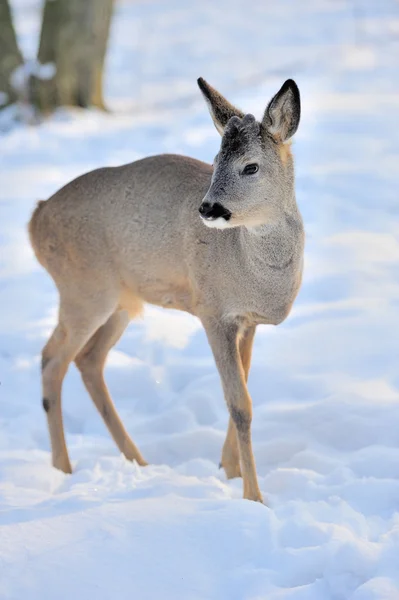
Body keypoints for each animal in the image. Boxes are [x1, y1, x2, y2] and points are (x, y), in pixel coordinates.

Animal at [28, 77, 304, 504]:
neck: (253, 269)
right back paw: (64, 469)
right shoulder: (212, 311)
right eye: (215, 159)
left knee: (89, 360)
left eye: (250, 166)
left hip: (122, 301)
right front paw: (253, 497)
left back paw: (136, 461)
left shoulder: (248, 321)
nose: (207, 208)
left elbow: (243, 390)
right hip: (83, 289)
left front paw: (228, 470)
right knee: (52, 358)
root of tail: (35, 218)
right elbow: (239, 404)